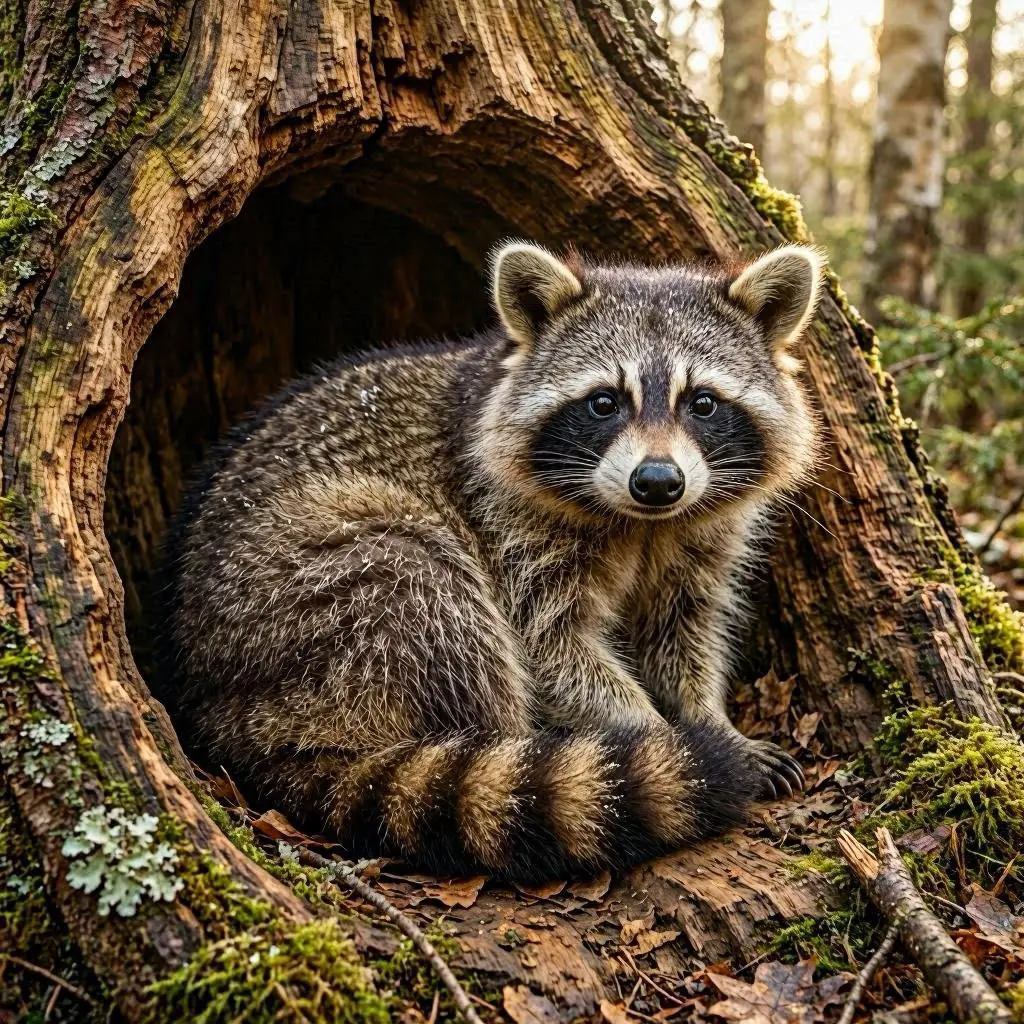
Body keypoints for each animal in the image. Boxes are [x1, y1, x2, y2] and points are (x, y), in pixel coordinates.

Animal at [166, 241, 822, 880]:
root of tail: (216, 703)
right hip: (306, 590)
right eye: (604, 403)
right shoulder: (507, 524)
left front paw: (707, 718)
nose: (658, 482)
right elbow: (552, 649)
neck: (642, 524)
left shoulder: (699, 536)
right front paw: (654, 735)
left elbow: (682, 633)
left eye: (703, 403)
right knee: (428, 588)